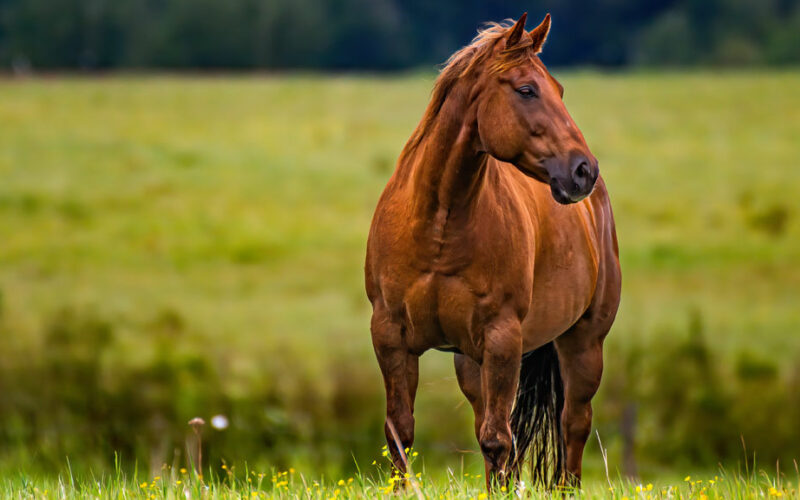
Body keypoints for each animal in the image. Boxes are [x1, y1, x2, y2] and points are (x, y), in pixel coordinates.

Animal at [366, 13, 620, 490]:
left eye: (559, 89)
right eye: (527, 89)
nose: (583, 170)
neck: (438, 225)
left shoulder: (503, 338)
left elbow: (498, 441)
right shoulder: (391, 336)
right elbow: (400, 435)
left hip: (583, 343)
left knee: (572, 425)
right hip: (471, 362)